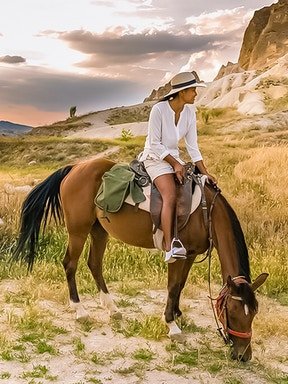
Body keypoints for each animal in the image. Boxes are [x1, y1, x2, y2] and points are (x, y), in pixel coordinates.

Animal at [11, 156, 268, 360]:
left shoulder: (191, 254)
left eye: (255, 312)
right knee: (70, 264)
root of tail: (75, 168)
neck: (206, 212)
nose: (243, 356)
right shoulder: (177, 255)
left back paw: (112, 308)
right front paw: (172, 325)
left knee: (94, 264)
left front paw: (178, 314)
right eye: (233, 311)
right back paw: (80, 310)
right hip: (78, 231)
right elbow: (173, 285)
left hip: (99, 231)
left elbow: (181, 285)